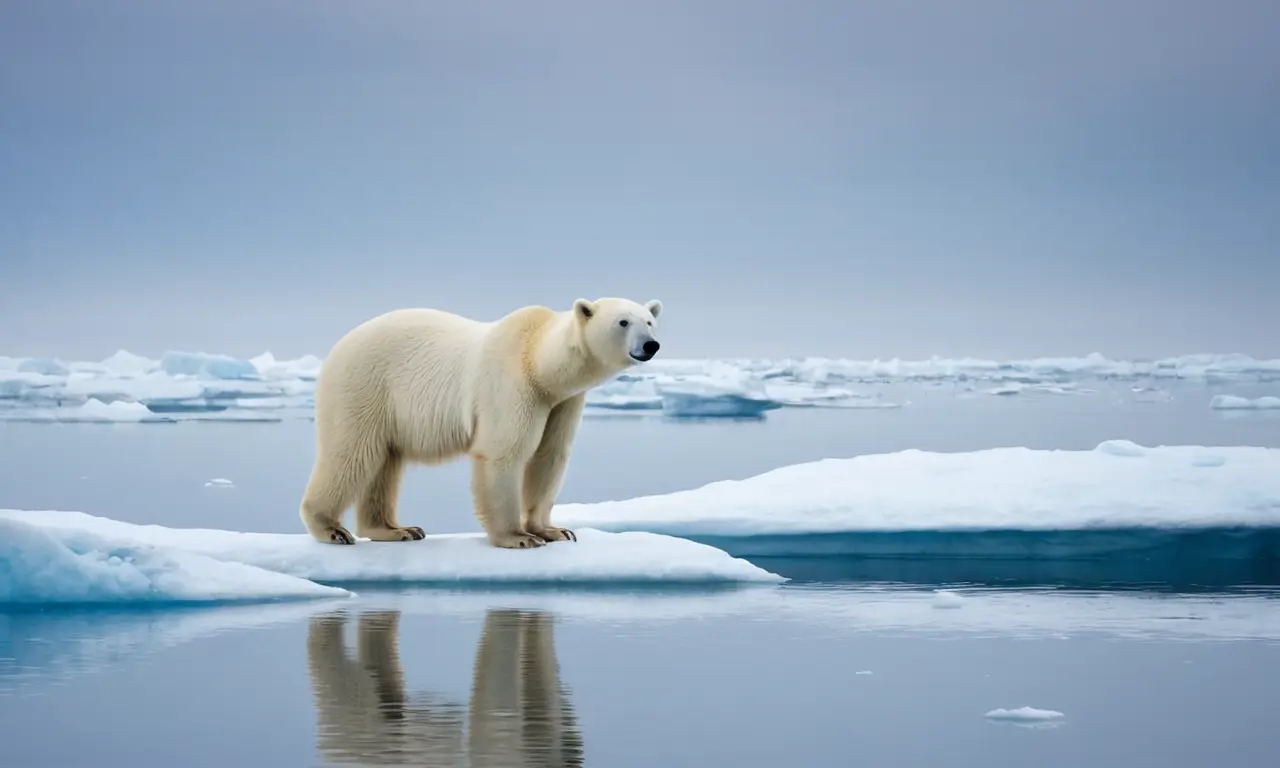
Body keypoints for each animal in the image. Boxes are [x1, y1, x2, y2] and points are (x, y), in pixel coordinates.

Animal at [298, 297, 663, 549]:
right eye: (623, 322)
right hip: (364, 386)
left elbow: (550, 457)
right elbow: (505, 453)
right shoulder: (512, 385)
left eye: (649, 321)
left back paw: (397, 529)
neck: (539, 360)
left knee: (384, 462)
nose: (651, 345)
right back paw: (332, 529)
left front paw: (555, 530)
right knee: (352, 453)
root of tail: (337, 348)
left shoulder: (563, 403)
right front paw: (518, 537)